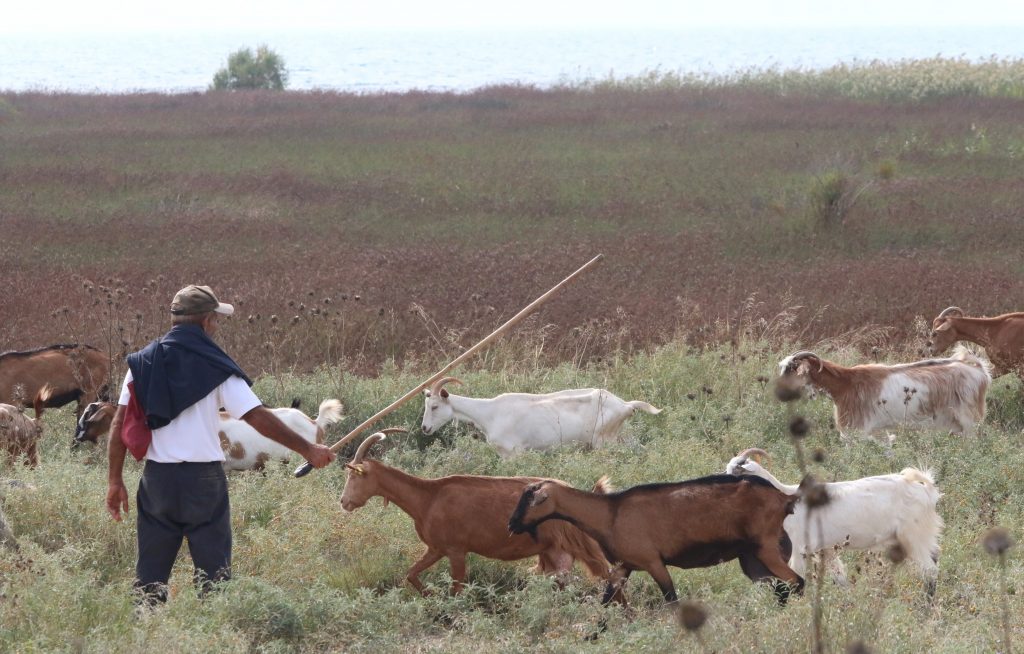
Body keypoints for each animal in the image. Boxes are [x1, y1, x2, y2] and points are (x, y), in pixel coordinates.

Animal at [339, 433, 618, 597]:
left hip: (575, 545)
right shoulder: (436, 548)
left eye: (353, 476)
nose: (343, 502)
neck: (427, 498)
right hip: (551, 550)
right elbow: (411, 573)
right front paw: (430, 596)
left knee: (603, 574)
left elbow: (456, 588)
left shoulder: (456, 550)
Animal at [417, 378, 663, 454]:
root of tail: (625, 405)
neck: (489, 413)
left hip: (604, 440)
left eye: (435, 406)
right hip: (620, 435)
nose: (425, 428)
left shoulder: (514, 452)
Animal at [503, 472, 798, 605]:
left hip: (767, 548)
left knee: (797, 583)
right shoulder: (624, 566)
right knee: (782, 588)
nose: (512, 523)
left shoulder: (654, 563)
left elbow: (672, 600)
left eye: (529, 499)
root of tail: (784, 498)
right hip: (752, 558)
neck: (609, 512)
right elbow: (606, 602)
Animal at [724, 450, 937, 593]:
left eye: (737, 471)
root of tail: (926, 489)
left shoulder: (799, 550)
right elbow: (840, 578)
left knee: (930, 572)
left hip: (915, 536)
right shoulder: (826, 550)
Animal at [778, 345, 987, 442]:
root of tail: (979, 370)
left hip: (969, 420)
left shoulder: (859, 431)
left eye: (791, 369)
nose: (778, 391)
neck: (845, 384)